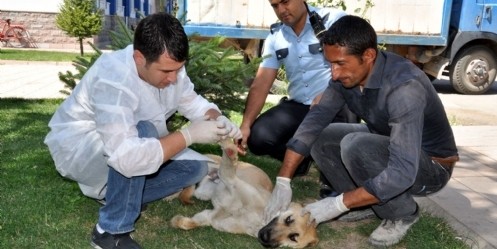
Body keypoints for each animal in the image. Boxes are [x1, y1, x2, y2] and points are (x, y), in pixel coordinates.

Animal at [170, 139, 318, 248]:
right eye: (289, 219)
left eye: (293, 238)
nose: (264, 238)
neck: (256, 218)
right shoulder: (230, 178)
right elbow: (229, 160)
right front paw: (228, 145)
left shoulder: (212, 217)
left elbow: (188, 224)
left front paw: (179, 221)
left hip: (202, 192)